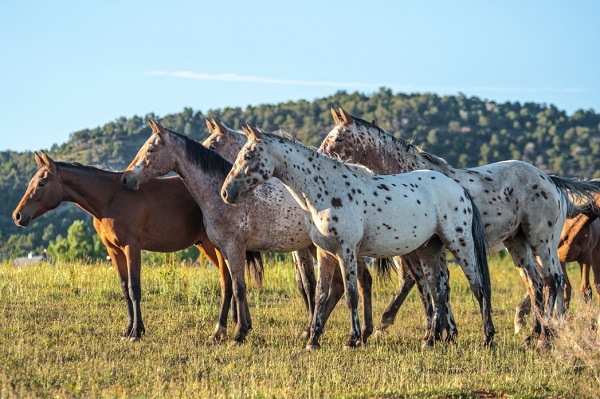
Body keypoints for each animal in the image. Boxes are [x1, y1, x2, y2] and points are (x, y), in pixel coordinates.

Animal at [12, 152, 262, 342]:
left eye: (42, 182)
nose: (18, 215)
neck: (111, 198)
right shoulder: (114, 251)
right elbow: (124, 288)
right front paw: (127, 330)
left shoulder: (132, 247)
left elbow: (134, 288)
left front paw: (136, 332)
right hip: (210, 247)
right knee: (233, 280)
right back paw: (242, 324)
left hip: (218, 247)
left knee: (228, 282)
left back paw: (227, 328)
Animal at [223, 125, 494, 350]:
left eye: (248, 155)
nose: (226, 192)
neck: (326, 190)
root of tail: (460, 189)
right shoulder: (325, 254)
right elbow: (321, 294)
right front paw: (313, 340)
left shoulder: (347, 251)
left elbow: (352, 295)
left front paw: (352, 339)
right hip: (428, 250)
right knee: (437, 291)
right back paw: (431, 339)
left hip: (460, 245)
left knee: (477, 288)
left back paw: (487, 339)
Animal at [318, 108, 600, 346]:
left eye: (338, 139)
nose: (320, 157)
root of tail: (550, 180)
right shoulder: (426, 251)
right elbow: (435, 287)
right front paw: (445, 333)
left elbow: (437, 287)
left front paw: (438, 332)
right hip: (518, 244)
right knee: (536, 283)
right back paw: (535, 333)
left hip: (541, 241)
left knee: (554, 280)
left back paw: (546, 336)